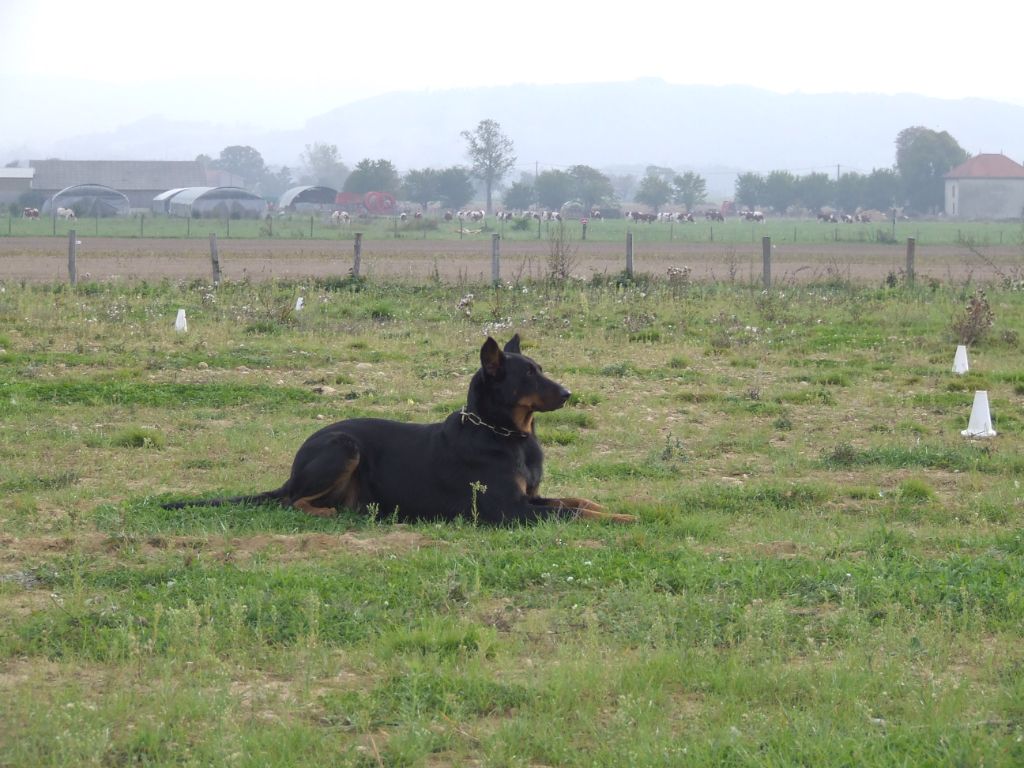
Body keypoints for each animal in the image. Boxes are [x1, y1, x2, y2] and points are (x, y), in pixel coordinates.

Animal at [163, 337, 634, 528]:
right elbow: (574, 513)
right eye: (529, 374)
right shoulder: (509, 511)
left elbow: (577, 501)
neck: (503, 433)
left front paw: (618, 510)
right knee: (293, 501)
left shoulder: (531, 499)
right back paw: (329, 512)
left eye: (541, 368)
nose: (569, 393)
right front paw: (623, 518)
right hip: (344, 446)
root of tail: (292, 471)